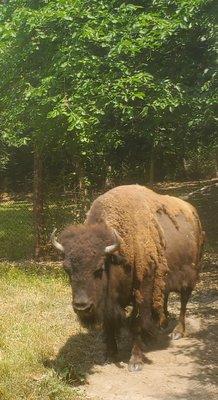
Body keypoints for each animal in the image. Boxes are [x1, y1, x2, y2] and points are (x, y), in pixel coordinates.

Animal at [51, 184, 204, 372]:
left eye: (99, 269)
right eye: (67, 270)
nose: (81, 306)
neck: (117, 256)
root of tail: (192, 212)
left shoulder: (141, 292)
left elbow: (136, 323)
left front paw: (135, 361)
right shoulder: (108, 302)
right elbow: (109, 323)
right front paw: (109, 355)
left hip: (189, 277)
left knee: (183, 302)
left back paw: (177, 332)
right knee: (164, 297)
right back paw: (161, 323)